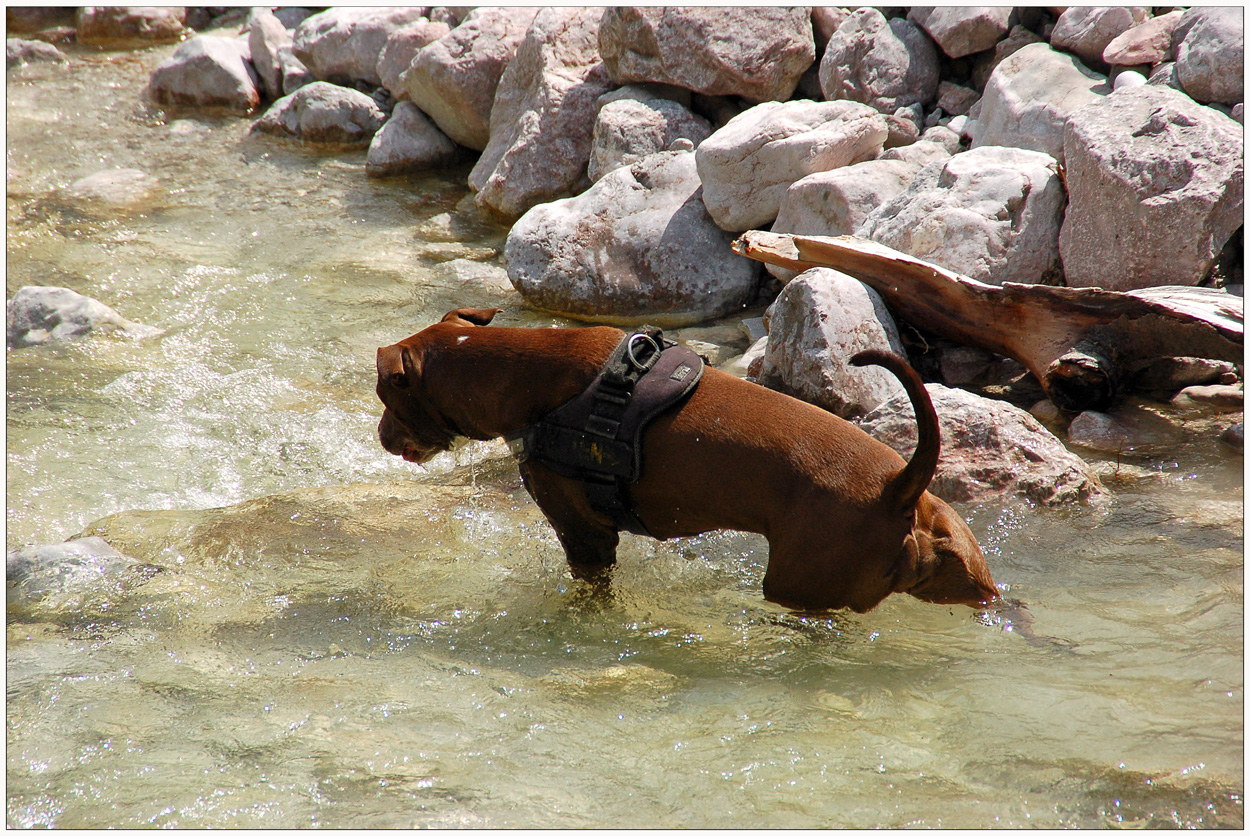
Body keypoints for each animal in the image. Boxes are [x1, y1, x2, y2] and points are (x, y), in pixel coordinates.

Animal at [372, 308, 995, 612]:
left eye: (386, 397)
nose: (380, 436)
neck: (523, 371)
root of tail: (898, 485)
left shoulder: (585, 538)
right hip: (960, 566)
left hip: (801, 585)